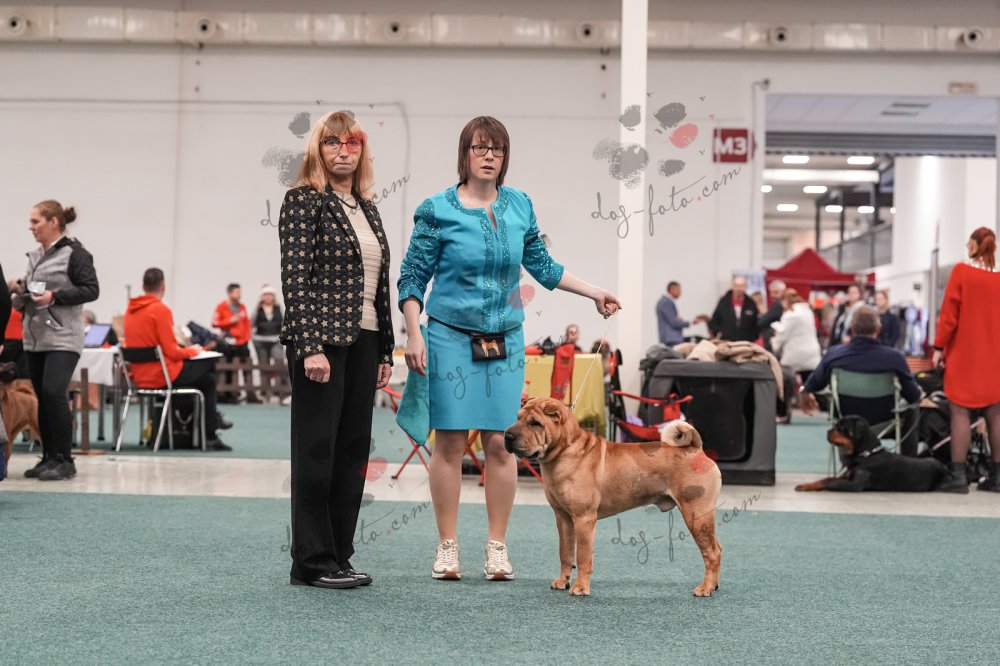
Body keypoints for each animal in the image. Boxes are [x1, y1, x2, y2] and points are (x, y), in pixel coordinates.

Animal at [505, 397, 722, 597]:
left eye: (535, 423)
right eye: (518, 418)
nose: (507, 435)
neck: (566, 451)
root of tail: (695, 448)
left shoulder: (583, 519)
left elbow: (583, 556)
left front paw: (580, 588)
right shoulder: (563, 518)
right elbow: (565, 553)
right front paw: (562, 581)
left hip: (697, 515)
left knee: (712, 552)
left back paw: (705, 588)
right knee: (717, 548)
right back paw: (714, 585)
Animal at [795, 415, 946, 492]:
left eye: (841, 428)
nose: (827, 431)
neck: (867, 454)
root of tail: (942, 466)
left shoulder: (853, 485)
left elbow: (829, 481)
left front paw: (805, 486)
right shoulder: (846, 477)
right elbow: (829, 478)